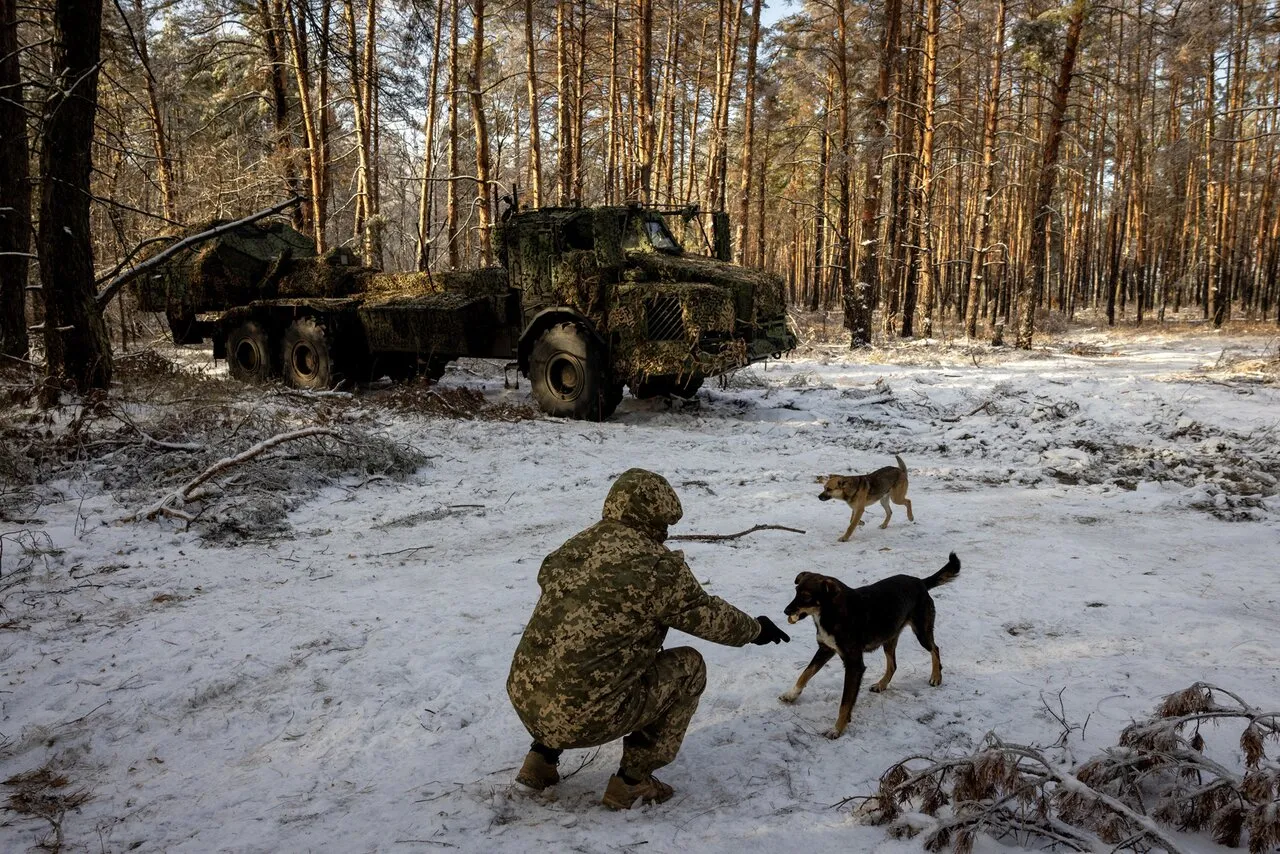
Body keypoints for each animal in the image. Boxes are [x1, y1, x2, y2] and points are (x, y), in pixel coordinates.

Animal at [778, 555, 962, 742]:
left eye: (806, 596)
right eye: (796, 591)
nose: (785, 611)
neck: (830, 612)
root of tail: (920, 582)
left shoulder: (854, 664)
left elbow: (845, 702)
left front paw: (837, 729)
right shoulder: (825, 649)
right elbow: (805, 673)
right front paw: (791, 695)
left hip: (921, 632)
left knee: (935, 648)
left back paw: (936, 676)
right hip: (889, 638)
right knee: (893, 665)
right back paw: (881, 684)